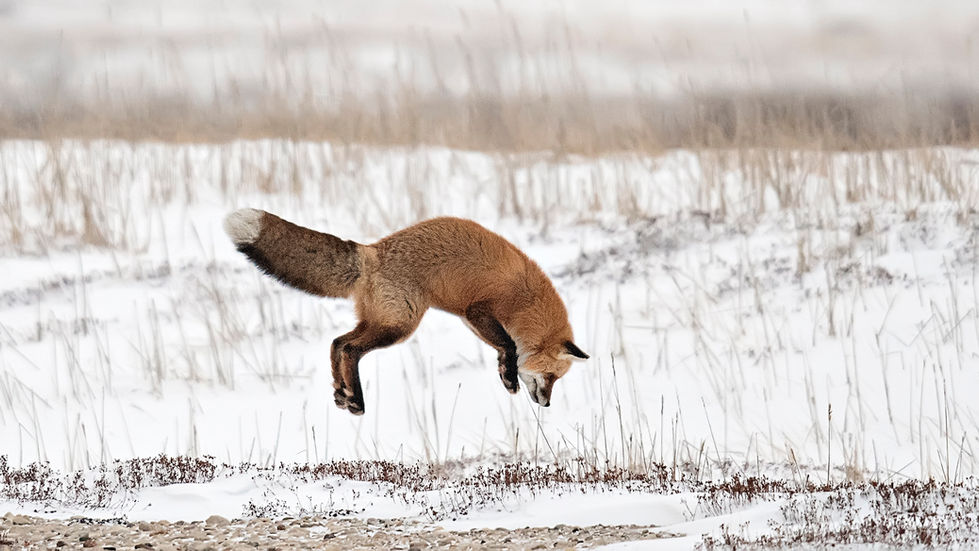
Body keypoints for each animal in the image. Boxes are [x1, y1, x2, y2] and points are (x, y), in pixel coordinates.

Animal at [223, 208, 588, 415]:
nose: (547, 404)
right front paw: (509, 376)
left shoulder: (470, 318)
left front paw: (505, 373)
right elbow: (509, 345)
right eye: (552, 377)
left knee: (337, 343)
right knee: (350, 348)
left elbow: (502, 347)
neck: (528, 302)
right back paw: (356, 400)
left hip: (381, 320)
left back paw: (344, 394)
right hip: (399, 326)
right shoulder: (479, 309)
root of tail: (371, 251)